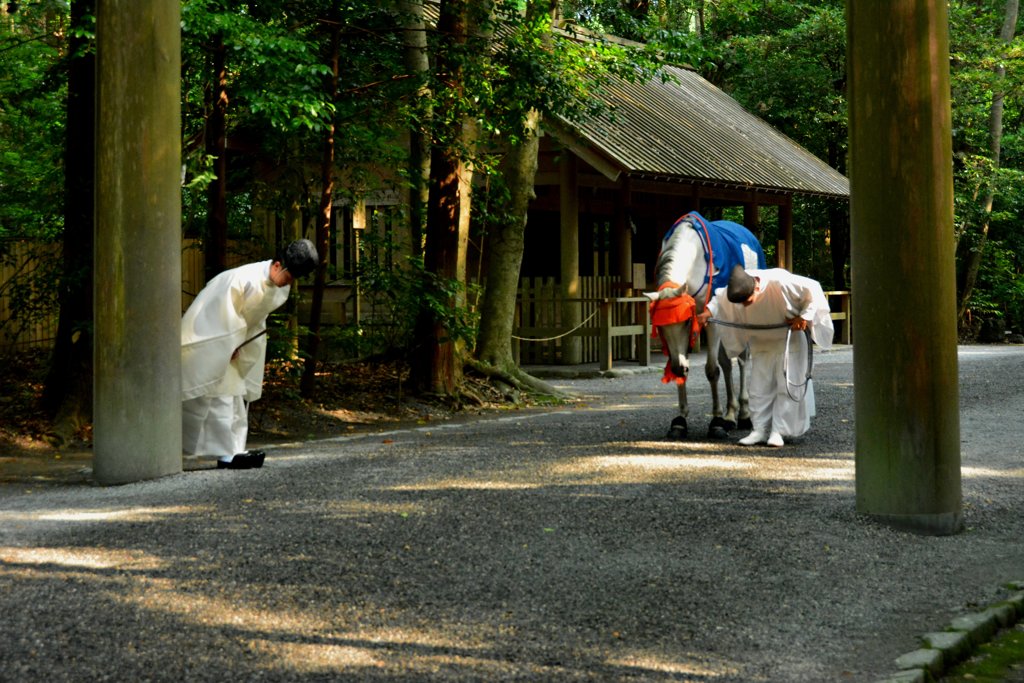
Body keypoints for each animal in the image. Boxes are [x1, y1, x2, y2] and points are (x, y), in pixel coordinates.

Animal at [643, 210, 765, 440]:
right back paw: (730, 415)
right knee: (727, 362)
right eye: (660, 327)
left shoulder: (710, 320)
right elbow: (693, 366)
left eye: (686, 322)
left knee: (742, 360)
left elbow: (711, 370)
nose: (678, 367)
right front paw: (681, 419)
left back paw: (744, 414)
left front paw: (716, 422)